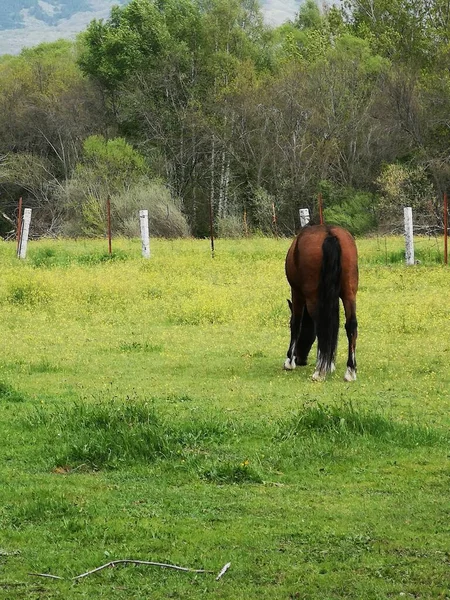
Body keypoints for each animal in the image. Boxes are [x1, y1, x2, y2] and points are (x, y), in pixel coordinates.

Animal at [284, 225, 358, 380]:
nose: (301, 360)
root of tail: (329, 234)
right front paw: (331, 364)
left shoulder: (296, 292)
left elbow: (296, 323)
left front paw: (289, 361)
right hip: (349, 293)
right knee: (351, 325)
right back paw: (350, 370)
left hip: (311, 296)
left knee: (321, 324)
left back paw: (319, 371)